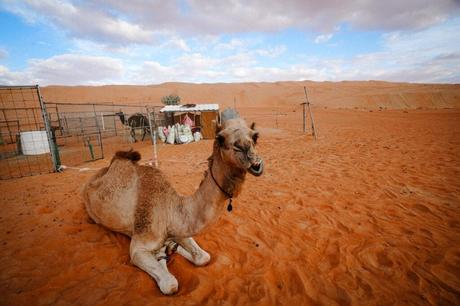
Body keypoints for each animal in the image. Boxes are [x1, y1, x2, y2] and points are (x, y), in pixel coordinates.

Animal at [81, 109, 264, 294]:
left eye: (255, 136)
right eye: (220, 138)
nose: (250, 156)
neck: (170, 209)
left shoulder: (179, 229)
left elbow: (203, 257)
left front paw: (172, 247)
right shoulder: (139, 247)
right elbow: (170, 285)